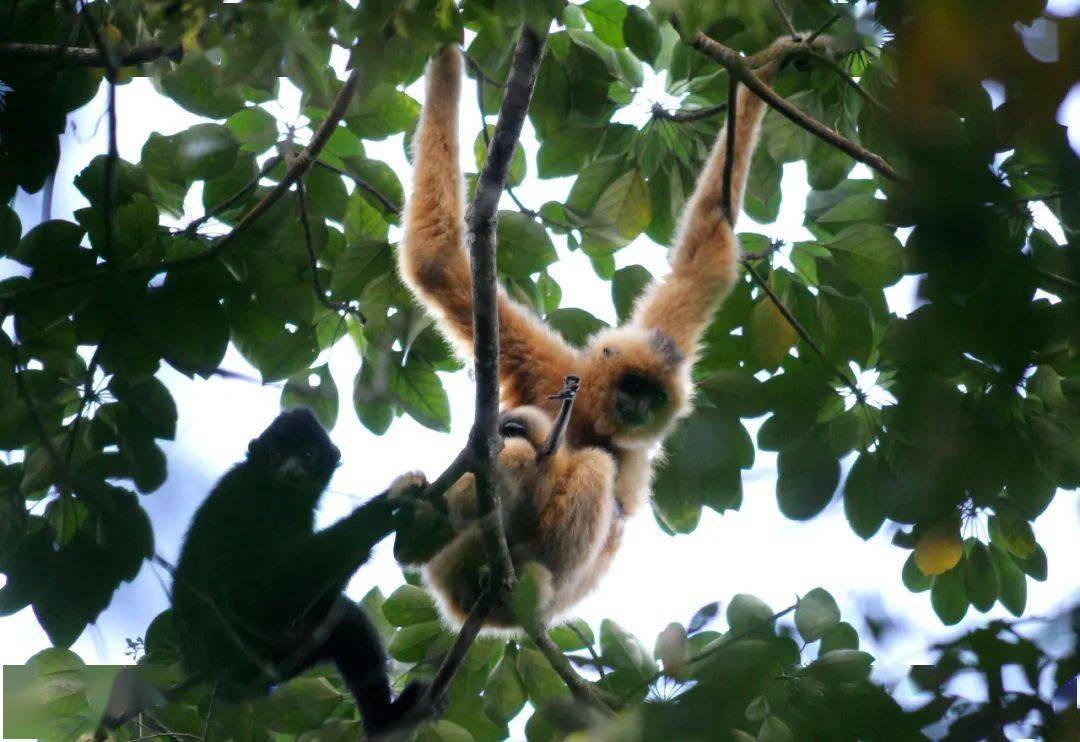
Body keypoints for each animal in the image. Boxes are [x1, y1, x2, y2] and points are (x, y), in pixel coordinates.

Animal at [170, 408, 429, 735]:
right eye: (277, 453)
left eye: (308, 454)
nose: (291, 468)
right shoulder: (244, 499)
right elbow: (252, 596)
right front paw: (380, 510)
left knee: (347, 622)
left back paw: (385, 721)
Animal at [399, 39, 799, 596]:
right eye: (632, 384)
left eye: (653, 397)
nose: (639, 407)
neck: (591, 419)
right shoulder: (551, 366)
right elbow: (438, 262)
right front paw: (448, 60)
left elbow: (707, 252)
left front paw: (767, 64)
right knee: (546, 456)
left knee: (591, 468)